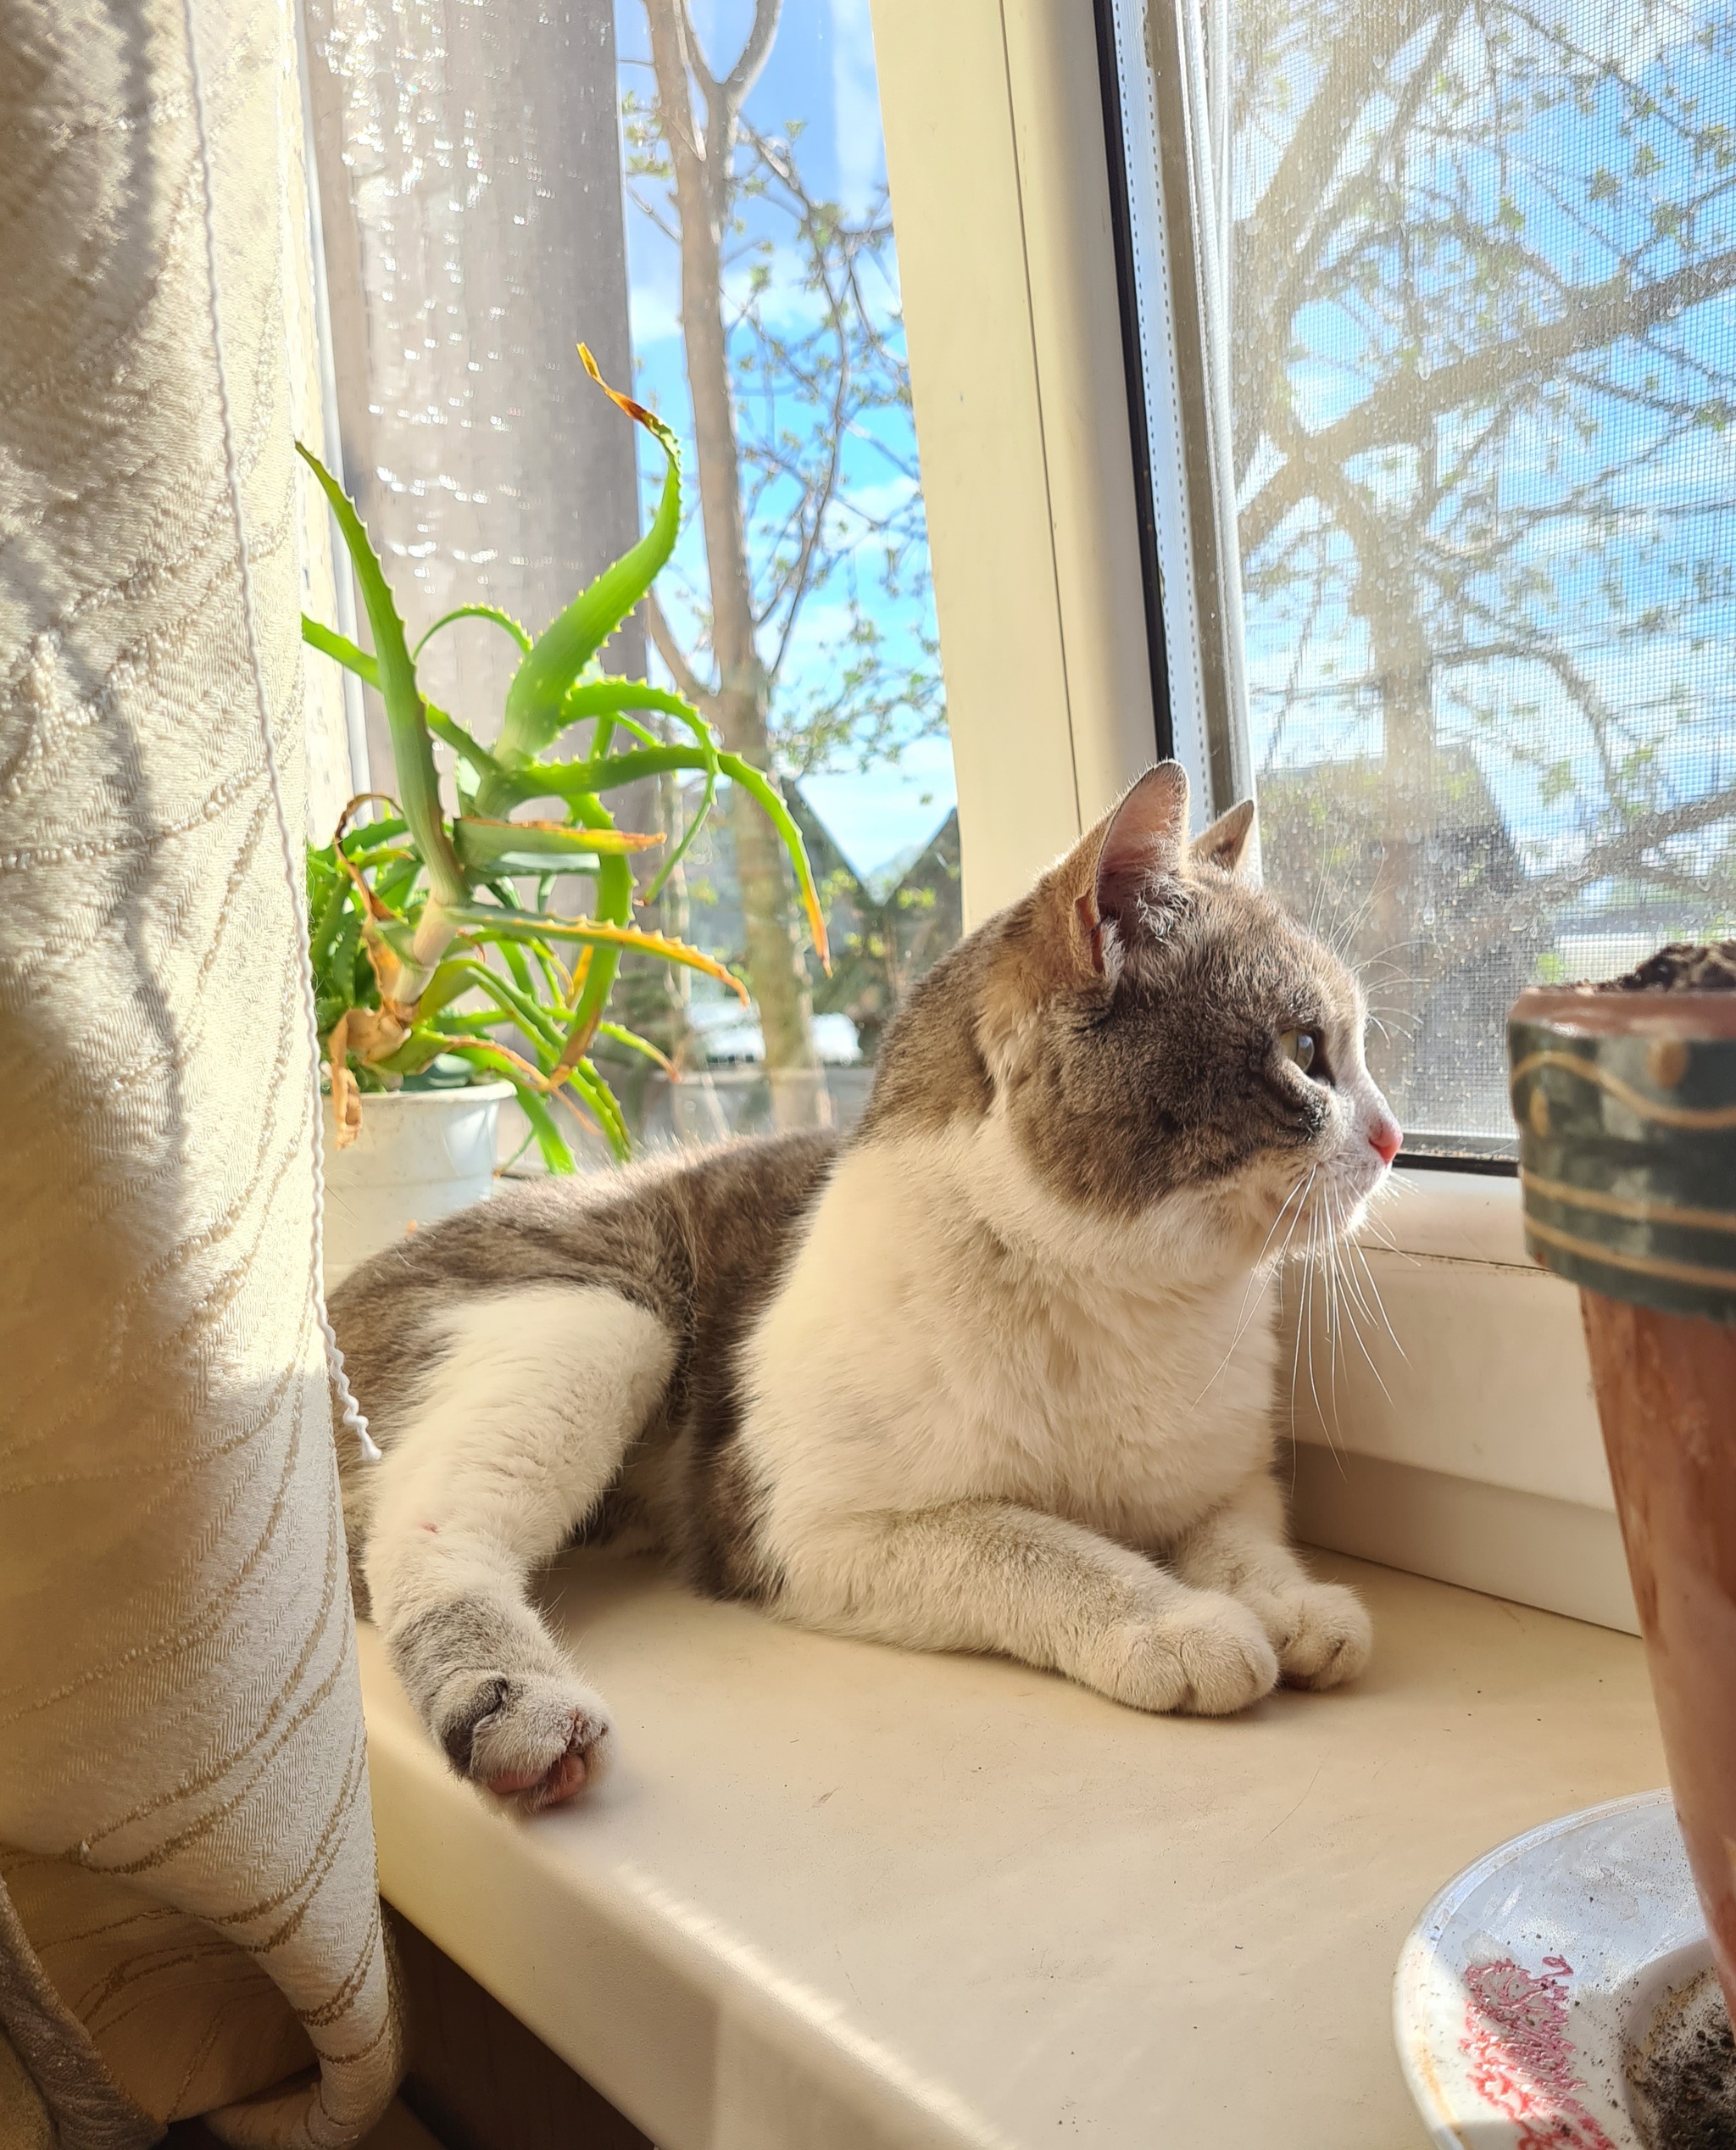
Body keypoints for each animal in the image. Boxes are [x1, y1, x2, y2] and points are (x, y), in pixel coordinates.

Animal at [332, 765, 1400, 1806]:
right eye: (1306, 1053)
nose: (1391, 1138)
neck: (1125, 1302)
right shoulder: (799, 1526)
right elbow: (1031, 1543)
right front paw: (1174, 1624)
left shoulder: (1227, 1474)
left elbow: (1241, 1536)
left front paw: (1291, 1602)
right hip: (601, 1321)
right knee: (417, 1547)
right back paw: (519, 1712)